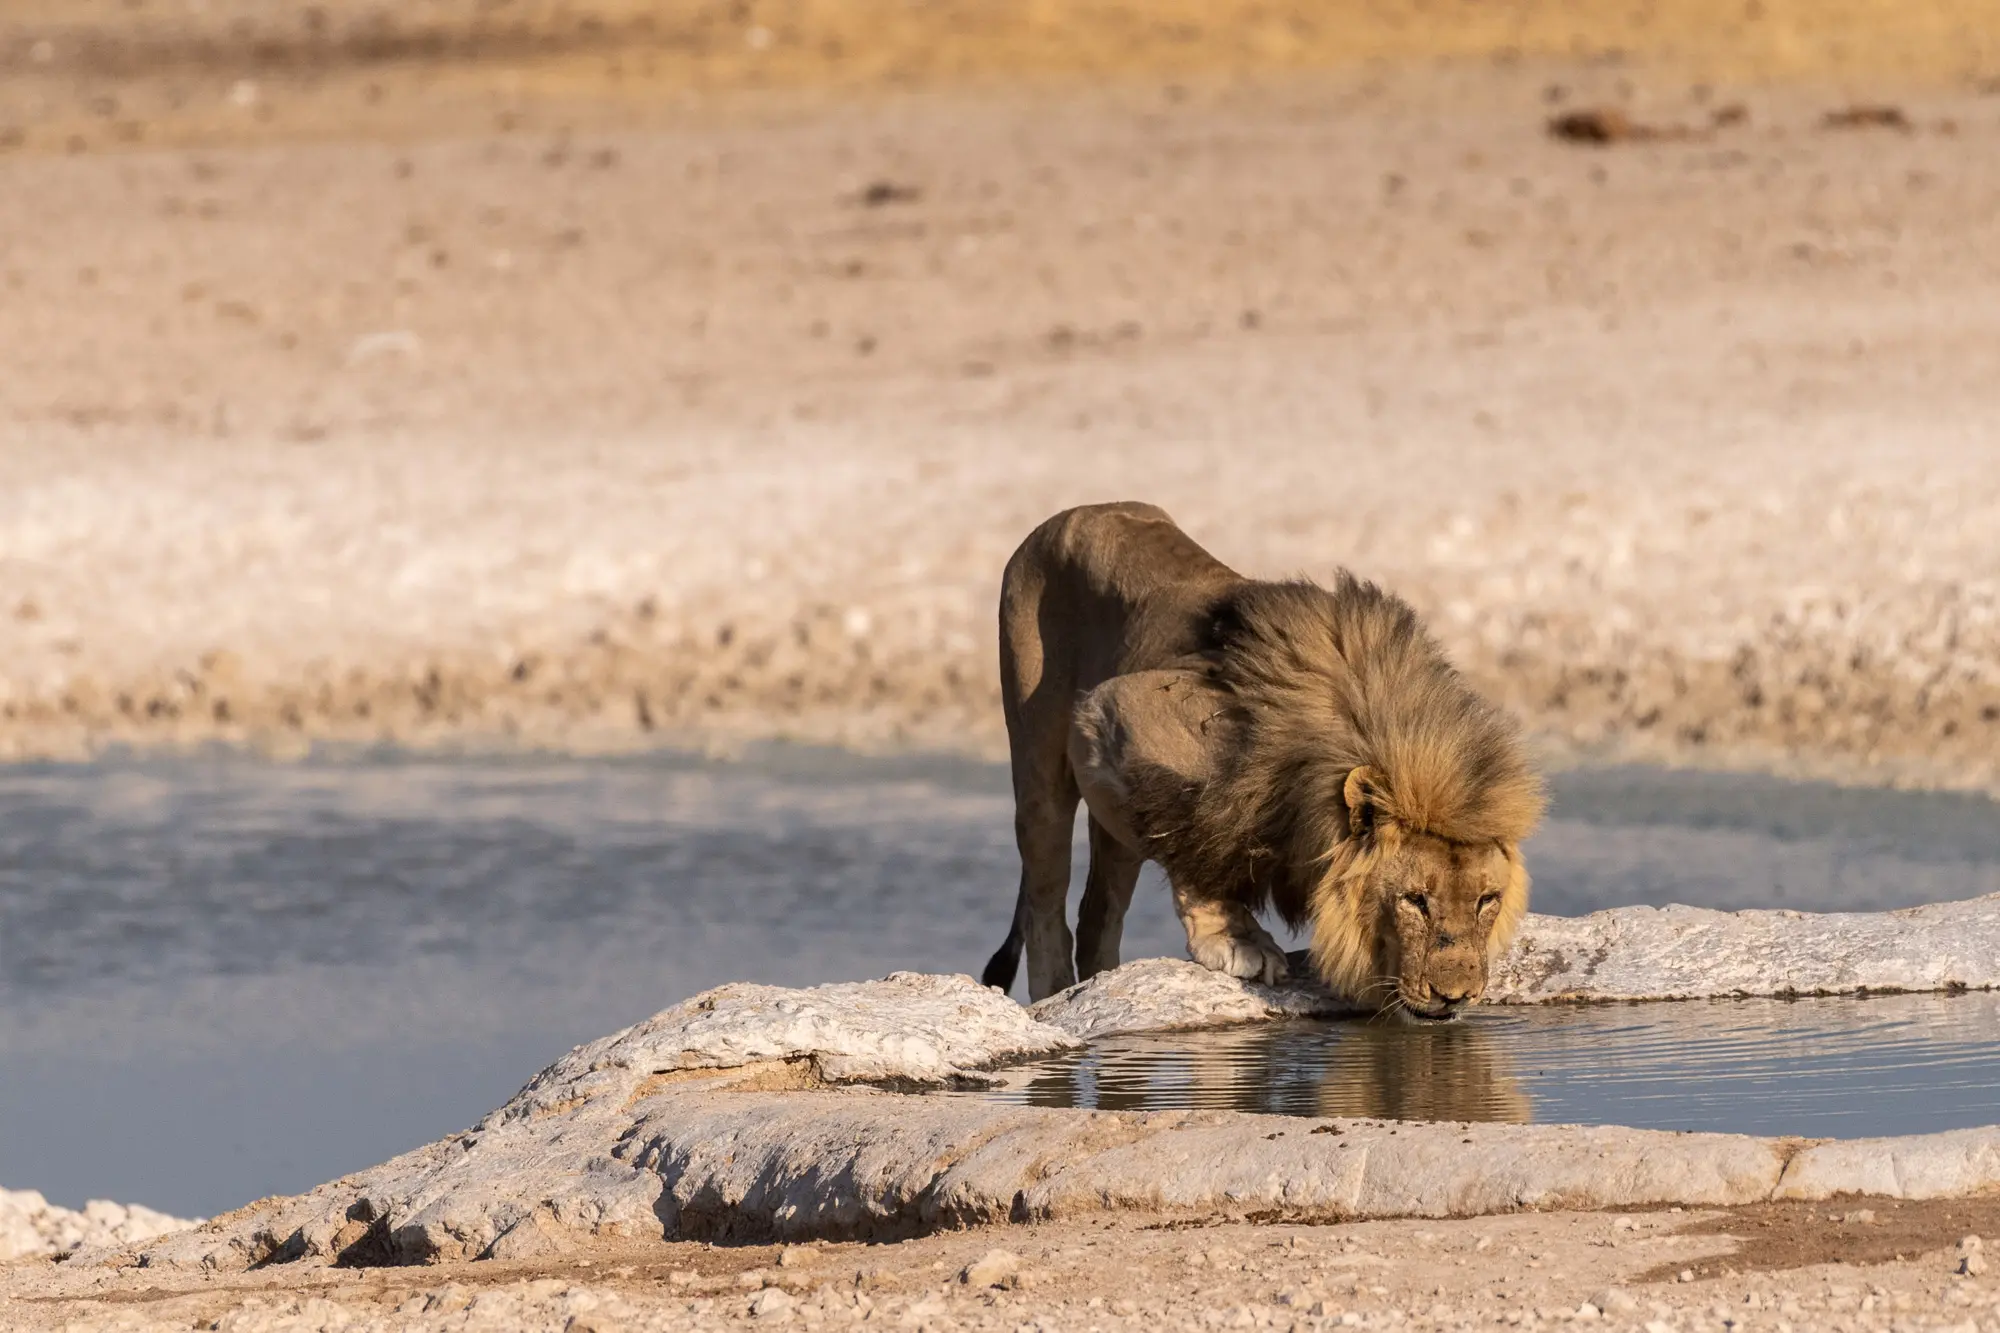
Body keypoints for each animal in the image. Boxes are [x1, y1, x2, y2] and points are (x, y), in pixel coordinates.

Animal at [980, 501, 1544, 1017]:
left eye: (1487, 900)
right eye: (1414, 900)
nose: (1456, 997)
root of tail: (1075, 512)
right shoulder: (1125, 709)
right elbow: (1193, 832)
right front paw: (1237, 940)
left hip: (1113, 818)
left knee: (1098, 913)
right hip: (1044, 768)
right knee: (1045, 904)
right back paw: (1053, 996)